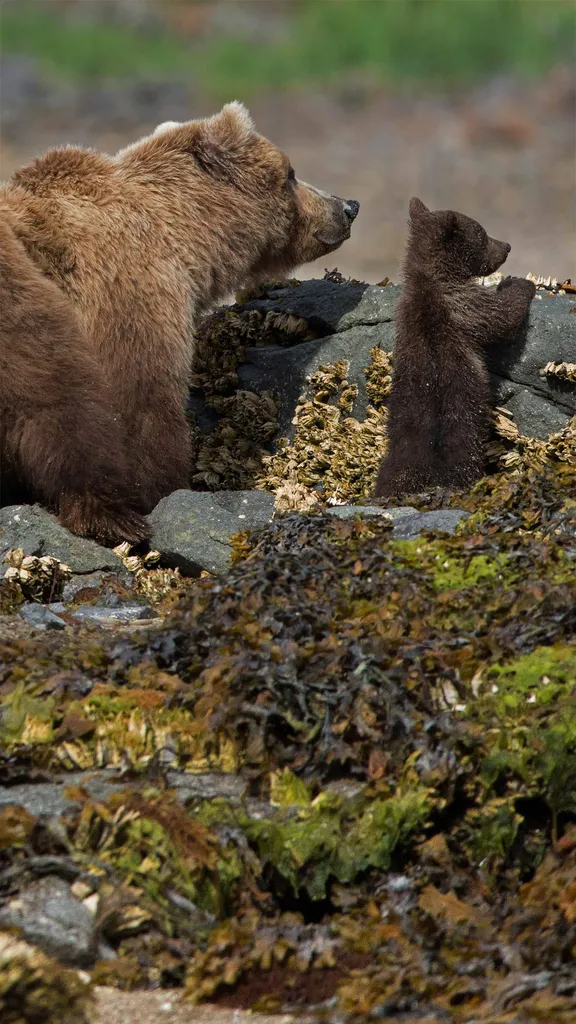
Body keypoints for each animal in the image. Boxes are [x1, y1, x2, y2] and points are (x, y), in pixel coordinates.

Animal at [1, 101, 359, 528]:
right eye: (289, 173)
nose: (349, 206)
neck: (188, 239)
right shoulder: (130, 290)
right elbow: (141, 402)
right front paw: (162, 485)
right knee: (57, 399)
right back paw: (109, 511)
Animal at [374, 197, 535, 498]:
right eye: (482, 234)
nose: (507, 246)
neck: (432, 280)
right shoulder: (464, 305)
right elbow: (502, 316)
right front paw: (519, 283)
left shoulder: (404, 311)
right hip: (463, 437)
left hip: (398, 453)